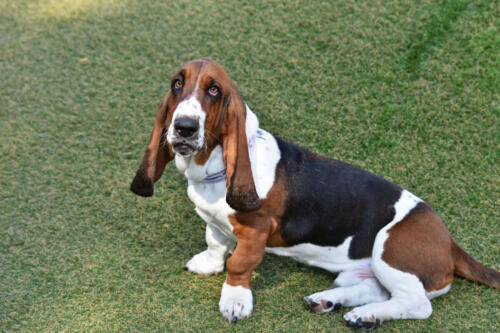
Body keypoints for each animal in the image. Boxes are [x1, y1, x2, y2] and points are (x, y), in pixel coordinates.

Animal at [132, 58, 500, 328]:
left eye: (213, 89)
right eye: (177, 84)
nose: (184, 127)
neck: (213, 168)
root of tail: (451, 244)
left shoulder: (254, 232)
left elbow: (238, 264)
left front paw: (235, 302)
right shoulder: (214, 221)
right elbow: (215, 242)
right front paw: (208, 264)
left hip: (389, 248)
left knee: (417, 304)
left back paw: (366, 315)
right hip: (364, 268)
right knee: (375, 288)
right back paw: (331, 301)